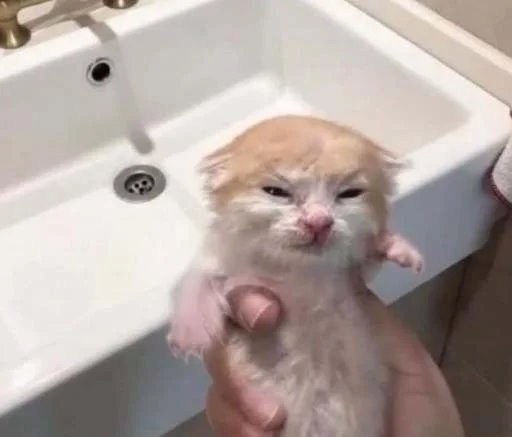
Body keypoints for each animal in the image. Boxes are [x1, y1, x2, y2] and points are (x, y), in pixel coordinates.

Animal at [168, 115, 423, 437]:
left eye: (349, 193)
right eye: (276, 192)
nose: (319, 222)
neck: (298, 270)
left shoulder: (349, 276)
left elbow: (368, 259)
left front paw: (397, 248)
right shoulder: (223, 264)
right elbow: (196, 282)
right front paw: (189, 334)